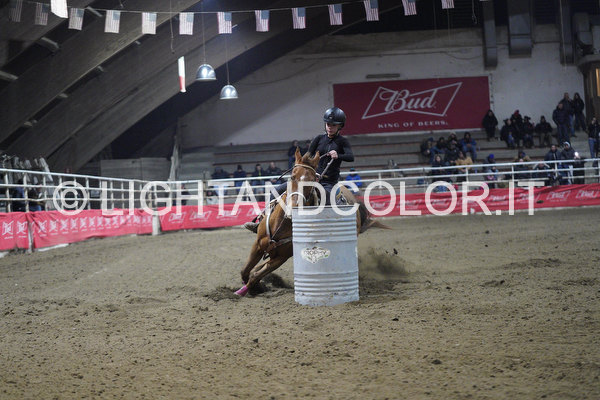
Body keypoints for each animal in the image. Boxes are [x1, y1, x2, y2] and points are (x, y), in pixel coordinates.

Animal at [235, 147, 387, 297]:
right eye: (292, 176)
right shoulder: (258, 245)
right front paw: (254, 287)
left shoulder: (282, 257)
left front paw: (250, 289)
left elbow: (254, 275)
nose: (294, 207)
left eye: (313, 180)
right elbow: (245, 270)